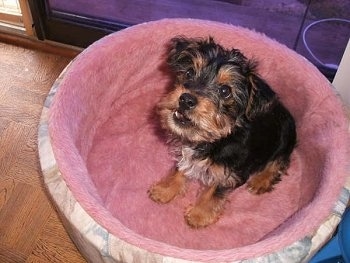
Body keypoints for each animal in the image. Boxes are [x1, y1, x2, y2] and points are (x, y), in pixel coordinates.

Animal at [147, 36, 296, 228]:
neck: (215, 139)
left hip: (284, 139)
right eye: (189, 72)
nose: (186, 99)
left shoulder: (230, 173)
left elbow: (215, 192)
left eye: (225, 91)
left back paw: (261, 181)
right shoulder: (186, 154)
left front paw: (199, 214)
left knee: (279, 161)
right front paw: (165, 189)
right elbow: (181, 168)